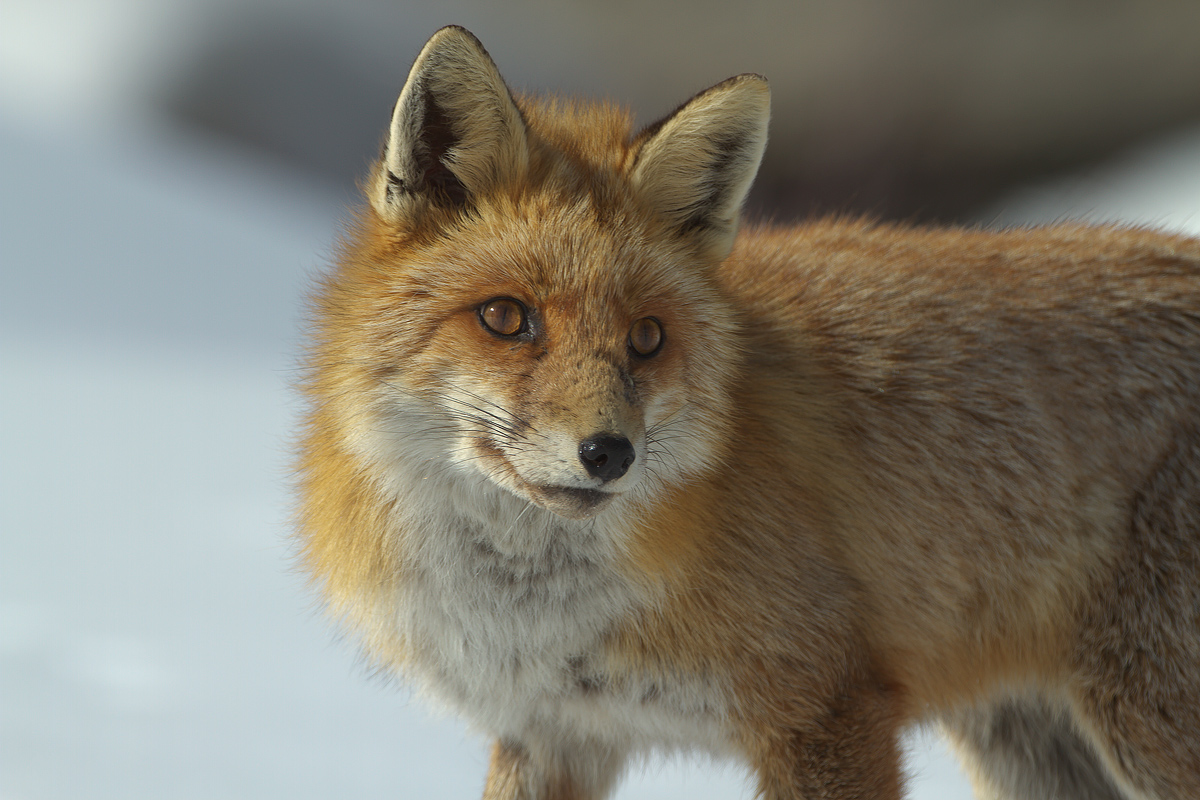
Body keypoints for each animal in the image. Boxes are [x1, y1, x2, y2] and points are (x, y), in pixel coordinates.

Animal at [295, 25, 1200, 800]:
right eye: (506, 318)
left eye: (648, 338)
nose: (608, 453)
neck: (539, 617)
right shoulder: (555, 733)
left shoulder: (828, 706)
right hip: (1027, 740)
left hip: (1141, 721)